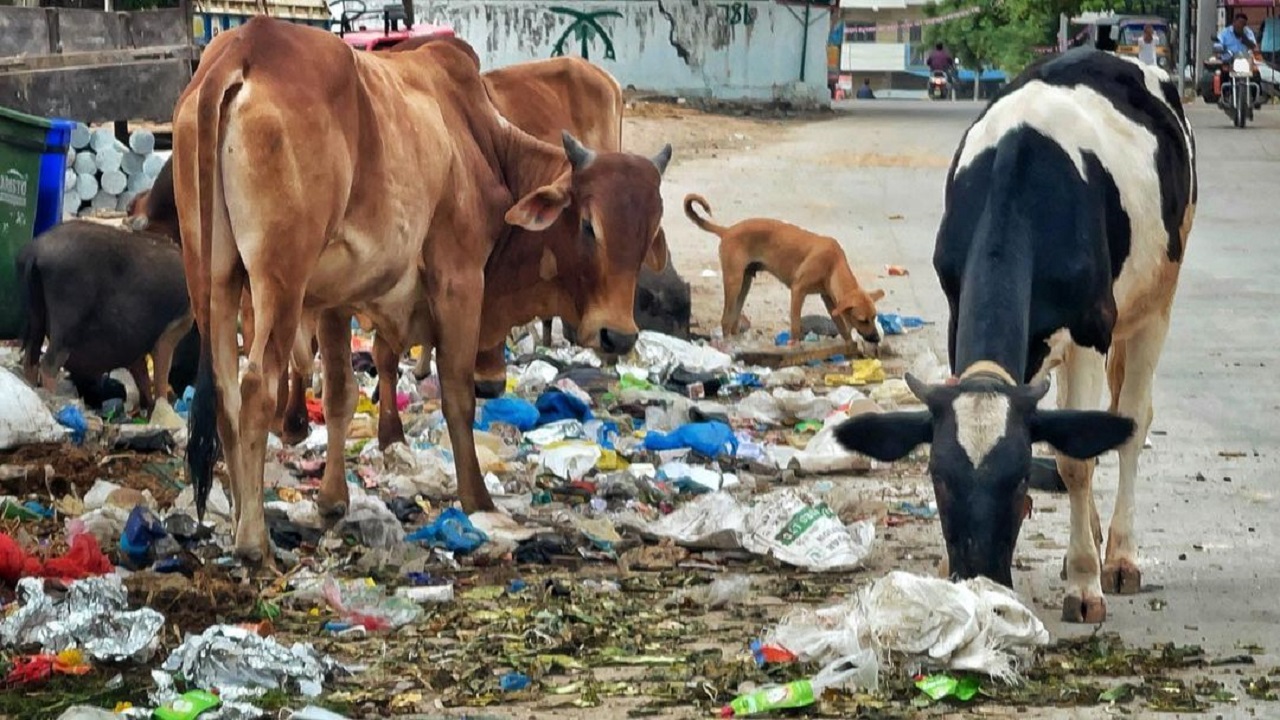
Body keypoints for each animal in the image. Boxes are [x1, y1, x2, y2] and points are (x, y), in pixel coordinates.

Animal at [175, 19, 670, 561]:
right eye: (587, 225)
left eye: (648, 233)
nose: (618, 336)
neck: (483, 144)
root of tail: (245, 48)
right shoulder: (460, 278)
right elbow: (457, 394)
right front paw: (476, 499)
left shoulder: (332, 299)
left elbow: (341, 395)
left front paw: (333, 499)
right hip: (279, 280)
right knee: (256, 386)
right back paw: (253, 539)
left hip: (213, 276)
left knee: (225, 391)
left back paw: (238, 516)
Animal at [686, 193, 885, 345]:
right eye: (862, 320)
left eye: (875, 317)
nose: (876, 339)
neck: (834, 264)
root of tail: (727, 231)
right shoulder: (798, 291)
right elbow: (795, 327)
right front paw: (794, 346)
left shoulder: (829, 299)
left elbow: (842, 326)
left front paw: (851, 347)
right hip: (733, 282)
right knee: (725, 321)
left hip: (744, 283)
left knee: (733, 320)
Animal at [834, 50, 1192, 622]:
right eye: (937, 477)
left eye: (1022, 477)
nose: (978, 574)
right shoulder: (956, 310)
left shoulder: (1091, 328)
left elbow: (1075, 460)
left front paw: (1086, 586)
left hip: (1156, 300)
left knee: (1131, 421)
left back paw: (1118, 557)